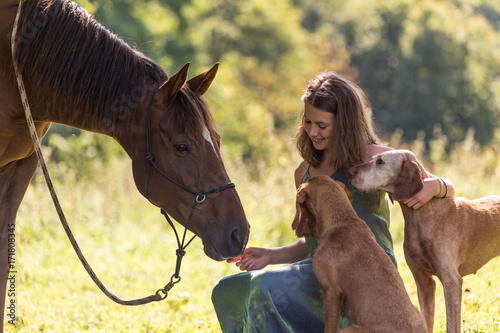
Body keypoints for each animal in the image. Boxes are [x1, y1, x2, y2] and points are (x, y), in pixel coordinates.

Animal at [348, 150, 500, 332]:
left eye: (380, 162)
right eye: (372, 158)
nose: (349, 172)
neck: (422, 214)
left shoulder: (451, 281)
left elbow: (452, 325)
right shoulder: (423, 281)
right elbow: (427, 320)